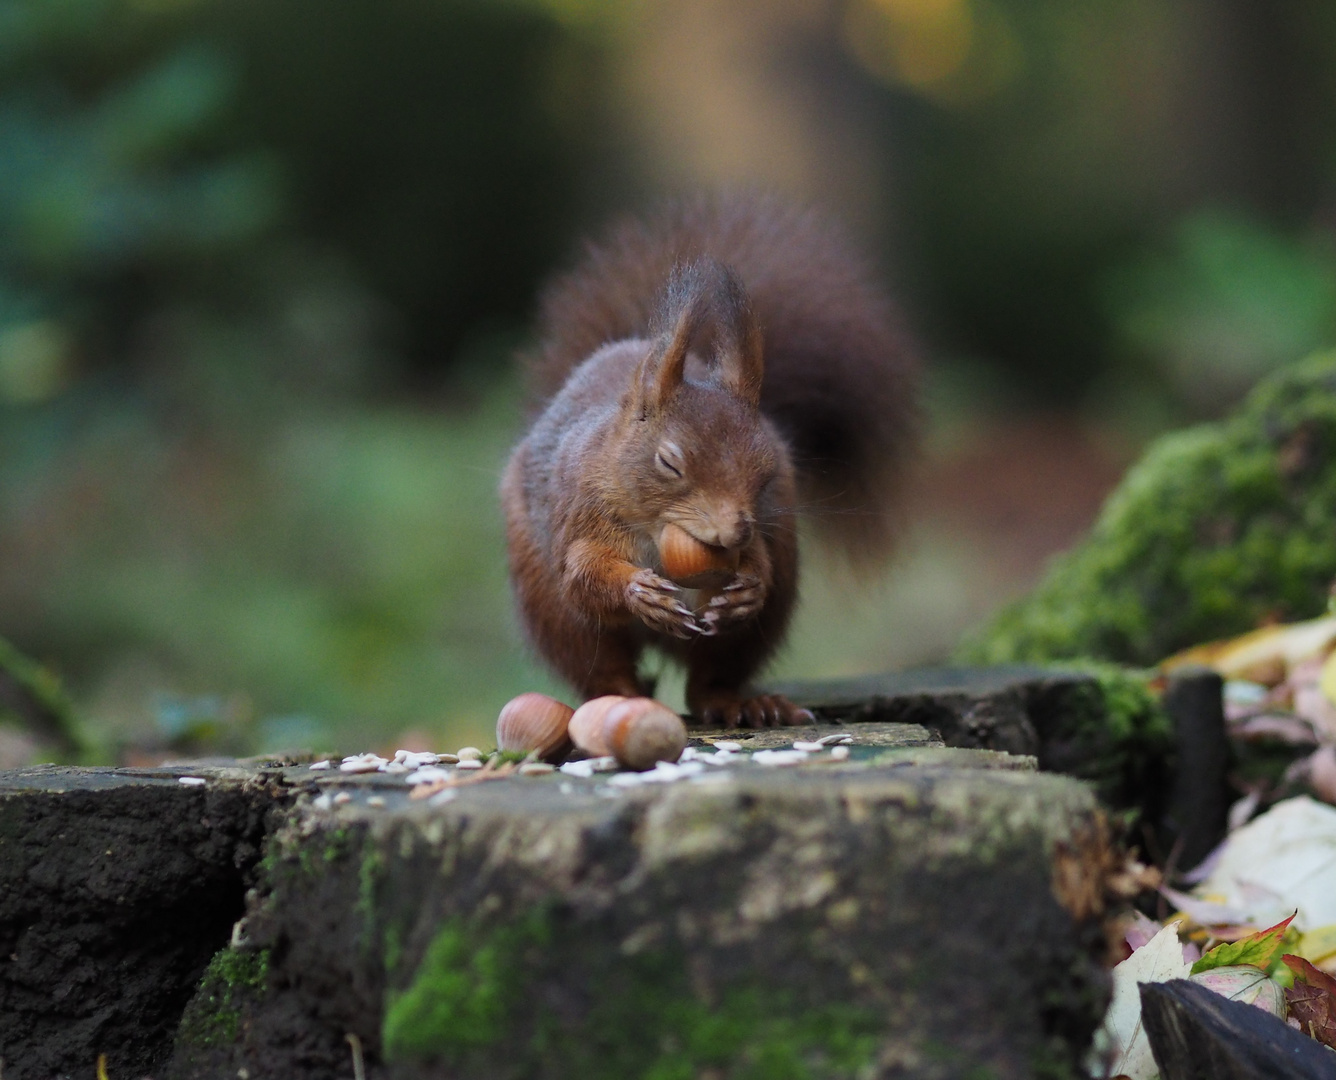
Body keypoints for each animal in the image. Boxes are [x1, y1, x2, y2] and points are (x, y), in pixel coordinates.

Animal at [502, 197, 919, 732]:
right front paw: (638, 590)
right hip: (550, 610)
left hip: (756, 620)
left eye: (768, 470)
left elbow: (757, 565)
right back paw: (616, 699)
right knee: (600, 663)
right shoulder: (579, 516)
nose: (733, 532)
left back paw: (744, 704)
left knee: (709, 681)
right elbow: (582, 579)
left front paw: (749, 585)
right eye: (668, 462)